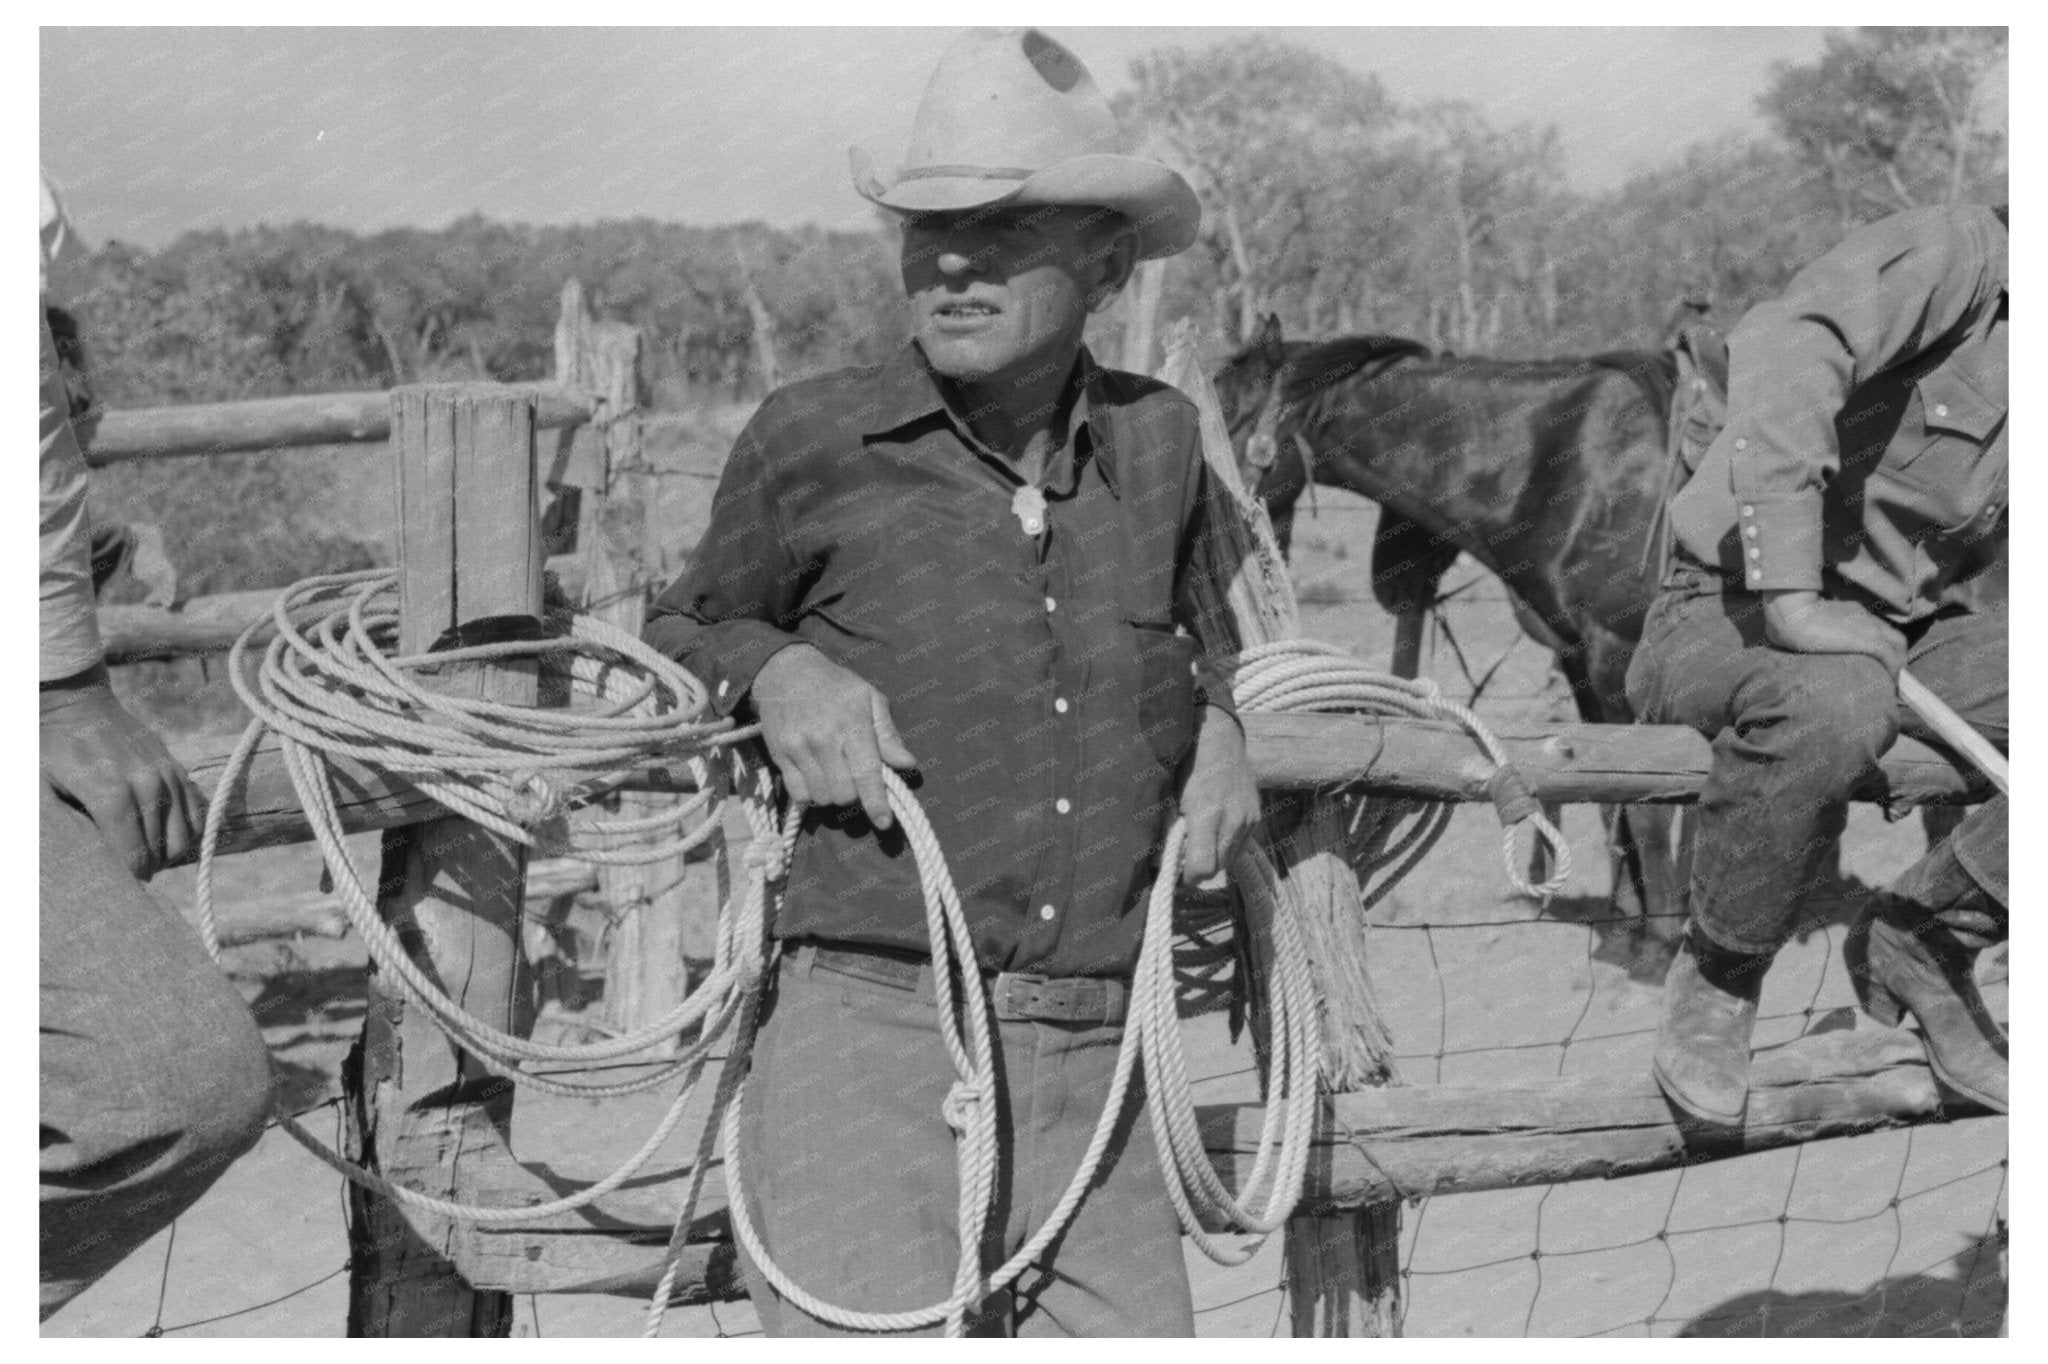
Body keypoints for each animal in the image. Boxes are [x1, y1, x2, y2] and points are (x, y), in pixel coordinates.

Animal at [1212, 313, 1679, 917]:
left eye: (1228, 416)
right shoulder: (1578, 657)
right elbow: (1610, 798)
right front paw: (1628, 918)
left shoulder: (1616, 655)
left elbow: (1649, 811)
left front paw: (1661, 931)